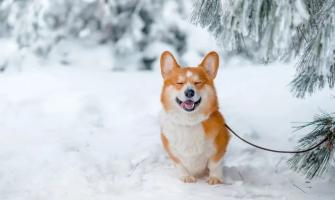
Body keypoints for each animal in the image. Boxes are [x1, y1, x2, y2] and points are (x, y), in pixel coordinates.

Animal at [159, 51, 228, 184]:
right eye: (179, 83)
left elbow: (215, 164)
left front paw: (215, 178)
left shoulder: (220, 146)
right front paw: (186, 177)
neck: (189, 121)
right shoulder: (172, 151)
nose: (189, 92)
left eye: (198, 82)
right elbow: (180, 164)